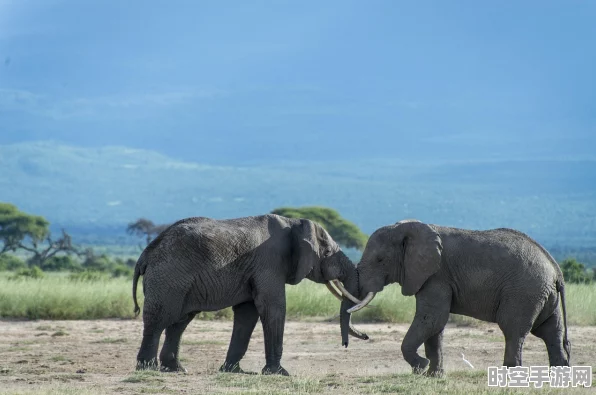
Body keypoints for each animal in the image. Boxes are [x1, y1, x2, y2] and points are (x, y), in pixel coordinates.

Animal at [132, 215, 368, 376]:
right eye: (326, 253)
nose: (364, 337)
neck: (293, 223)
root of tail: (146, 253)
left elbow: (247, 313)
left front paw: (232, 371)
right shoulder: (269, 263)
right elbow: (273, 308)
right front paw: (280, 373)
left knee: (179, 322)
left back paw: (176, 369)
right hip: (168, 277)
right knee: (160, 320)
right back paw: (147, 369)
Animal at [346, 220, 572, 378]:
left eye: (380, 260)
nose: (364, 336)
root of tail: (556, 270)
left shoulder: (437, 276)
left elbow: (432, 319)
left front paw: (420, 367)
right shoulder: (431, 277)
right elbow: (435, 325)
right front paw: (433, 376)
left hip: (524, 292)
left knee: (514, 330)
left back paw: (509, 377)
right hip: (542, 295)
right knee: (550, 330)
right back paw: (558, 378)